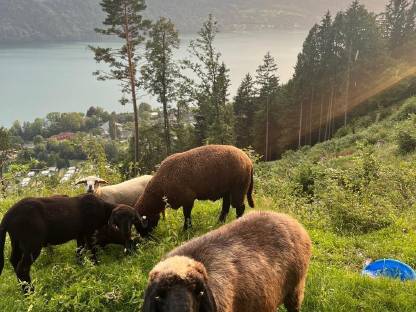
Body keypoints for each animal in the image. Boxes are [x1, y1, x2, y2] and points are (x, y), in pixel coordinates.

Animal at [0, 194, 145, 294]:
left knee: (14, 261)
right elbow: (92, 249)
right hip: (31, 243)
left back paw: (23, 290)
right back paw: (30, 292)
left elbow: (79, 252)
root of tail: (7, 217)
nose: (126, 232)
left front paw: (81, 267)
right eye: (118, 219)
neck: (103, 209)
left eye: (132, 219)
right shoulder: (89, 231)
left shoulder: (80, 234)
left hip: (17, 241)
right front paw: (96, 265)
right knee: (22, 268)